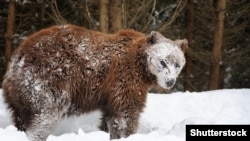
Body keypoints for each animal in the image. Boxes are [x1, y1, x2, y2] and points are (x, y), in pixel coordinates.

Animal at [2, 24, 188, 141]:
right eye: (163, 61)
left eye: (177, 64)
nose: (170, 81)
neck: (141, 67)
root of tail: (18, 57)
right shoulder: (125, 80)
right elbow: (126, 114)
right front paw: (127, 134)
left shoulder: (110, 93)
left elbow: (110, 118)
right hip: (48, 80)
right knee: (45, 117)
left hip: (19, 95)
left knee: (21, 119)